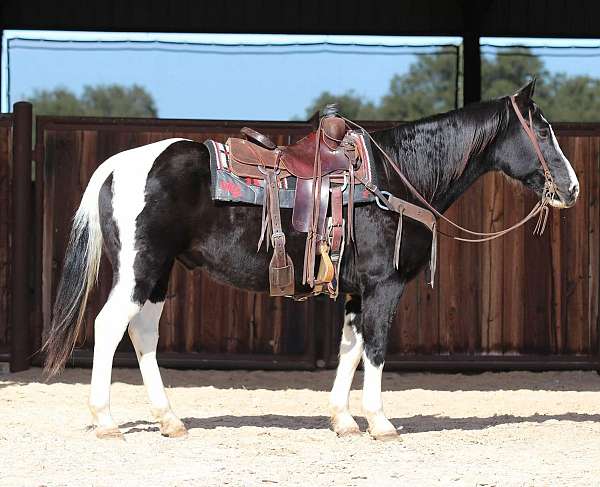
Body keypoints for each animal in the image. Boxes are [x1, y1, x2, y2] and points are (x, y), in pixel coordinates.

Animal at [42, 81, 576, 442]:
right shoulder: (384, 285)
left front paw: (343, 420)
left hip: (157, 274)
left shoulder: (357, 290)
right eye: (542, 129)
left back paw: (170, 419)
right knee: (109, 327)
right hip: (140, 269)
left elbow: (350, 347)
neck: (392, 181)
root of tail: (117, 165)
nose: (570, 188)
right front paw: (380, 422)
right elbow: (376, 348)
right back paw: (106, 420)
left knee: (143, 334)